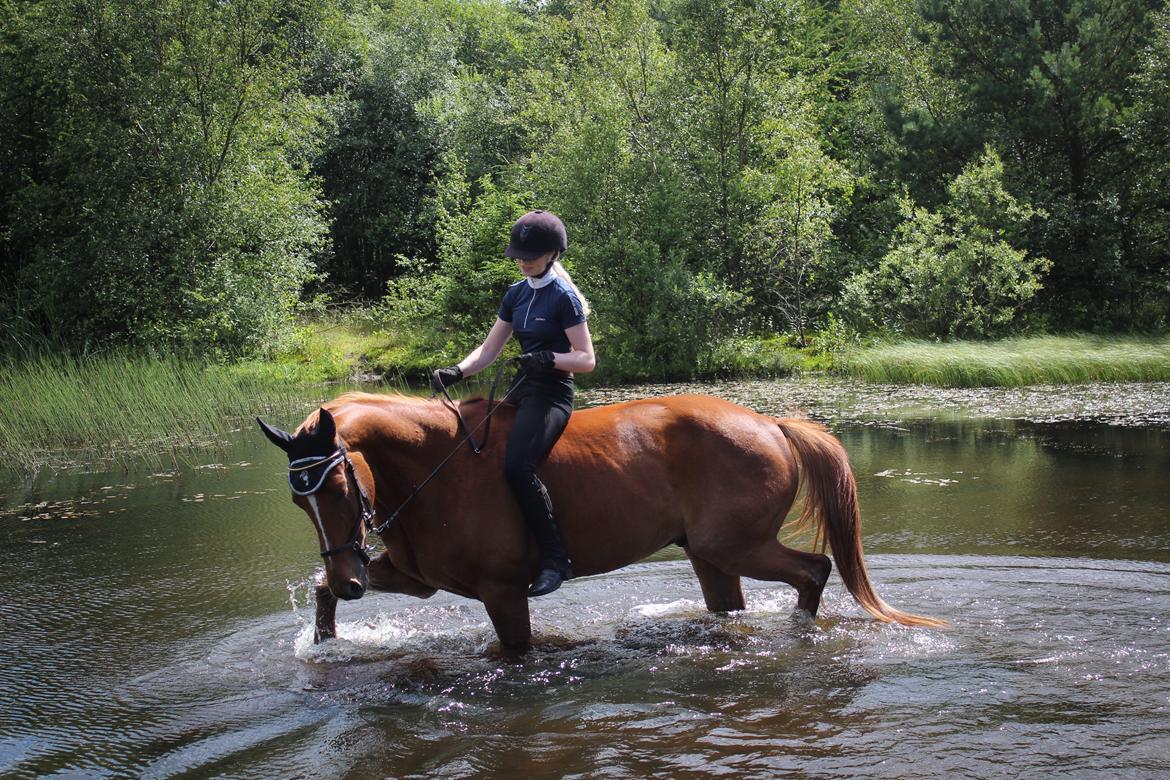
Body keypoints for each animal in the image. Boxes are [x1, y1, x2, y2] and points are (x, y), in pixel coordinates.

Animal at [256, 392, 940, 650]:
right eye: (297, 502)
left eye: (337, 484)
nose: (350, 578)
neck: (435, 470)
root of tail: (770, 423)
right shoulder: (417, 578)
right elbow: (320, 592)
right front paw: (324, 639)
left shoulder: (503, 592)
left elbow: (516, 654)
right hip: (711, 556)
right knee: (738, 604)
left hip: (737, 544)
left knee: (814, 570)